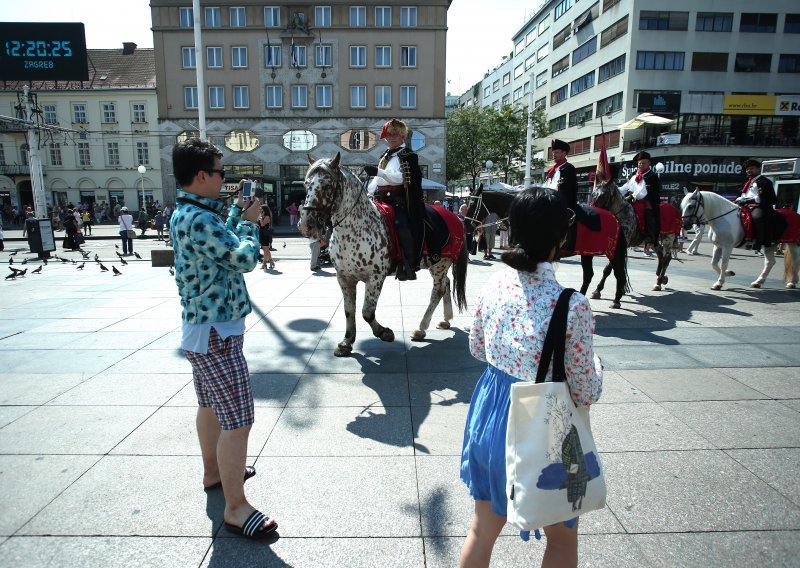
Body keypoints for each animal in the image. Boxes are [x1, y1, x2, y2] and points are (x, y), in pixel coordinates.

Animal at [298, 153, 468, 358]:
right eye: (306, 184)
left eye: (326, 185)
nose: (306, 225)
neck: (355, 229)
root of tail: (455, 217)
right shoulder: (344, 278)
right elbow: (349, 310)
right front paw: (347, 342)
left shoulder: (375, 278)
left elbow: (366, 312)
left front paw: (384, 333)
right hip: (436, 264)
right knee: (447, 284)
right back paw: (446, 319)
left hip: (440, 264)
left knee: (438, 291)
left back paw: (421, 328)